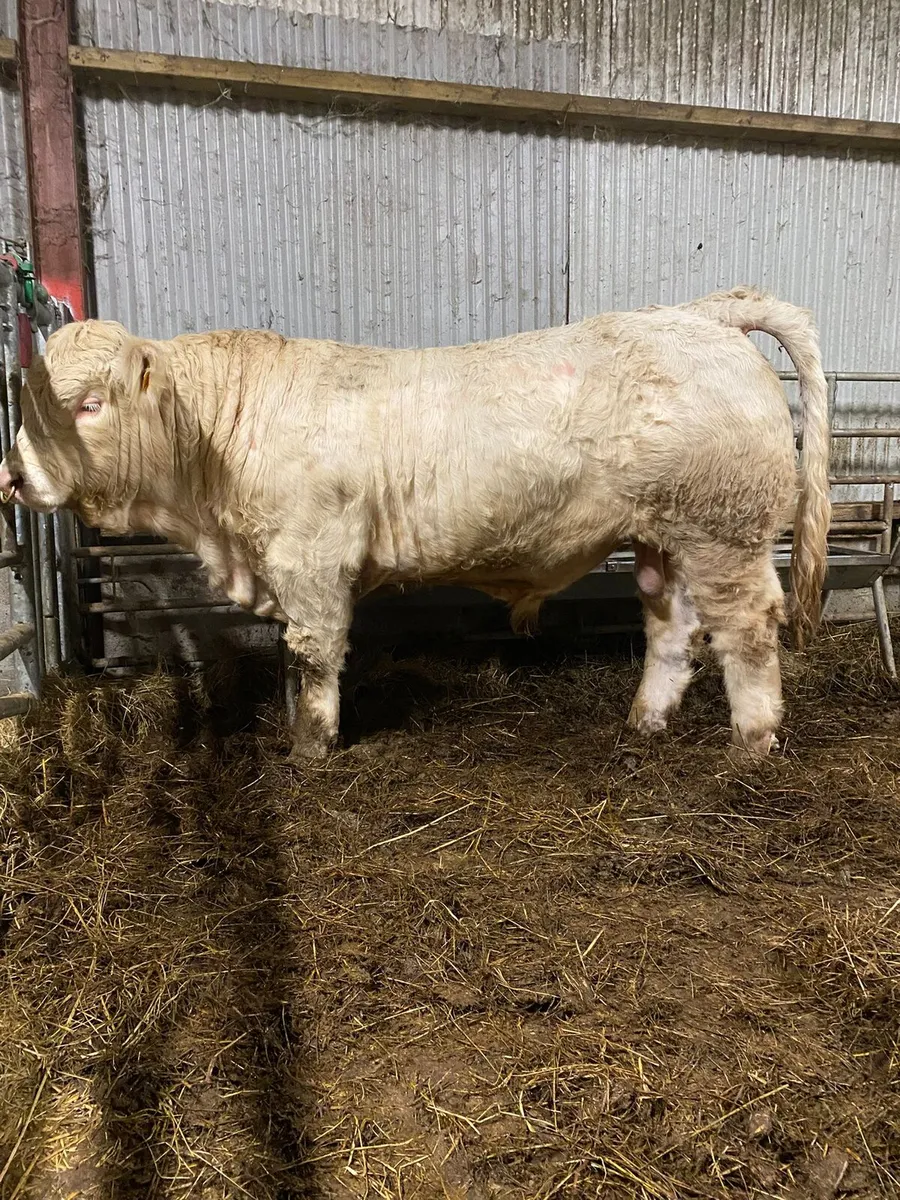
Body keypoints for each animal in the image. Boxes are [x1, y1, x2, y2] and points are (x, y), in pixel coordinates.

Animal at [0, 287, 830, 761]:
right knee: (674, 628)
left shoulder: (311, 559)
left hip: (724, 530)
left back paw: (752, 744)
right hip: (667, 536)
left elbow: (313, 657)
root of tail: (699, 317)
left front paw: (311, 750)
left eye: (88, 405)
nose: (12, 475)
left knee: (748, 629)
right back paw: (646, 722)